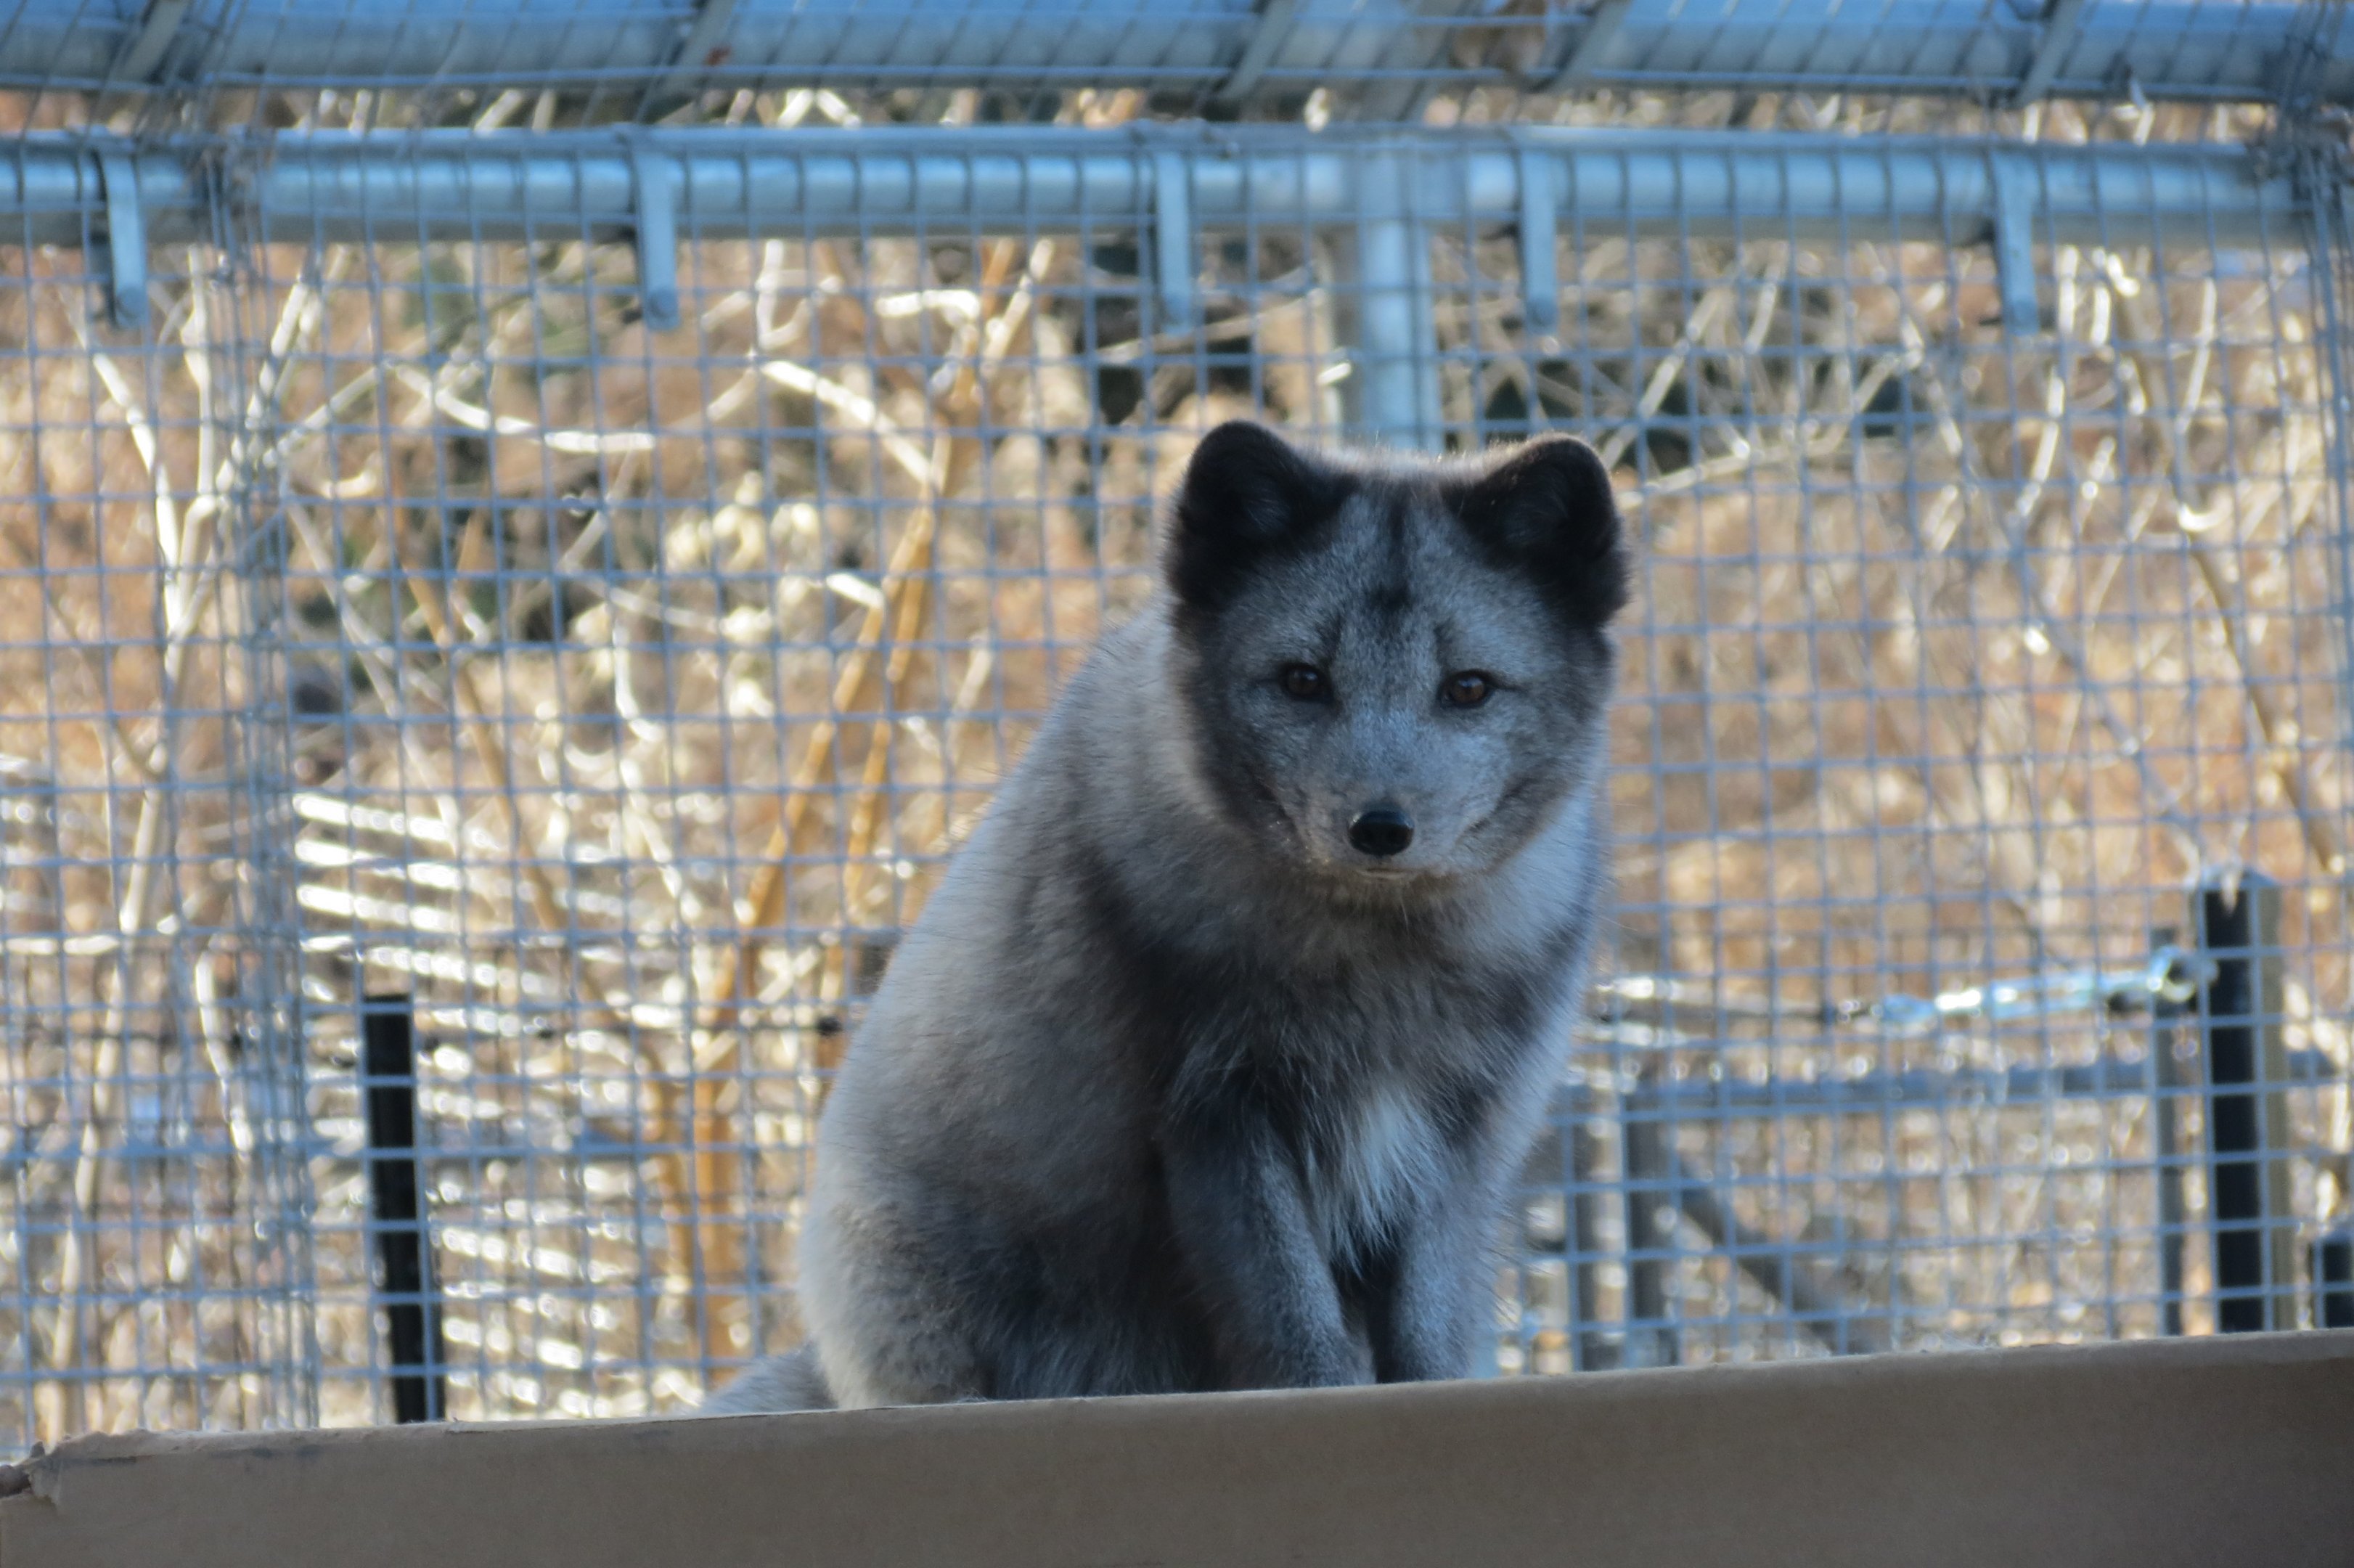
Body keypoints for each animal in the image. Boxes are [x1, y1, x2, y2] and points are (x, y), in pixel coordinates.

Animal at [702, 420, 1629, 1413]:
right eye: (1303, 680)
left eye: (1468, 688)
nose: (1380, 828)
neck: (1376, 962)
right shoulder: (1215, 1111)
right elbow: (1290, 1316)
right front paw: (1319, 1400)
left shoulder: (1454, 1132)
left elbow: (1424, 1322)